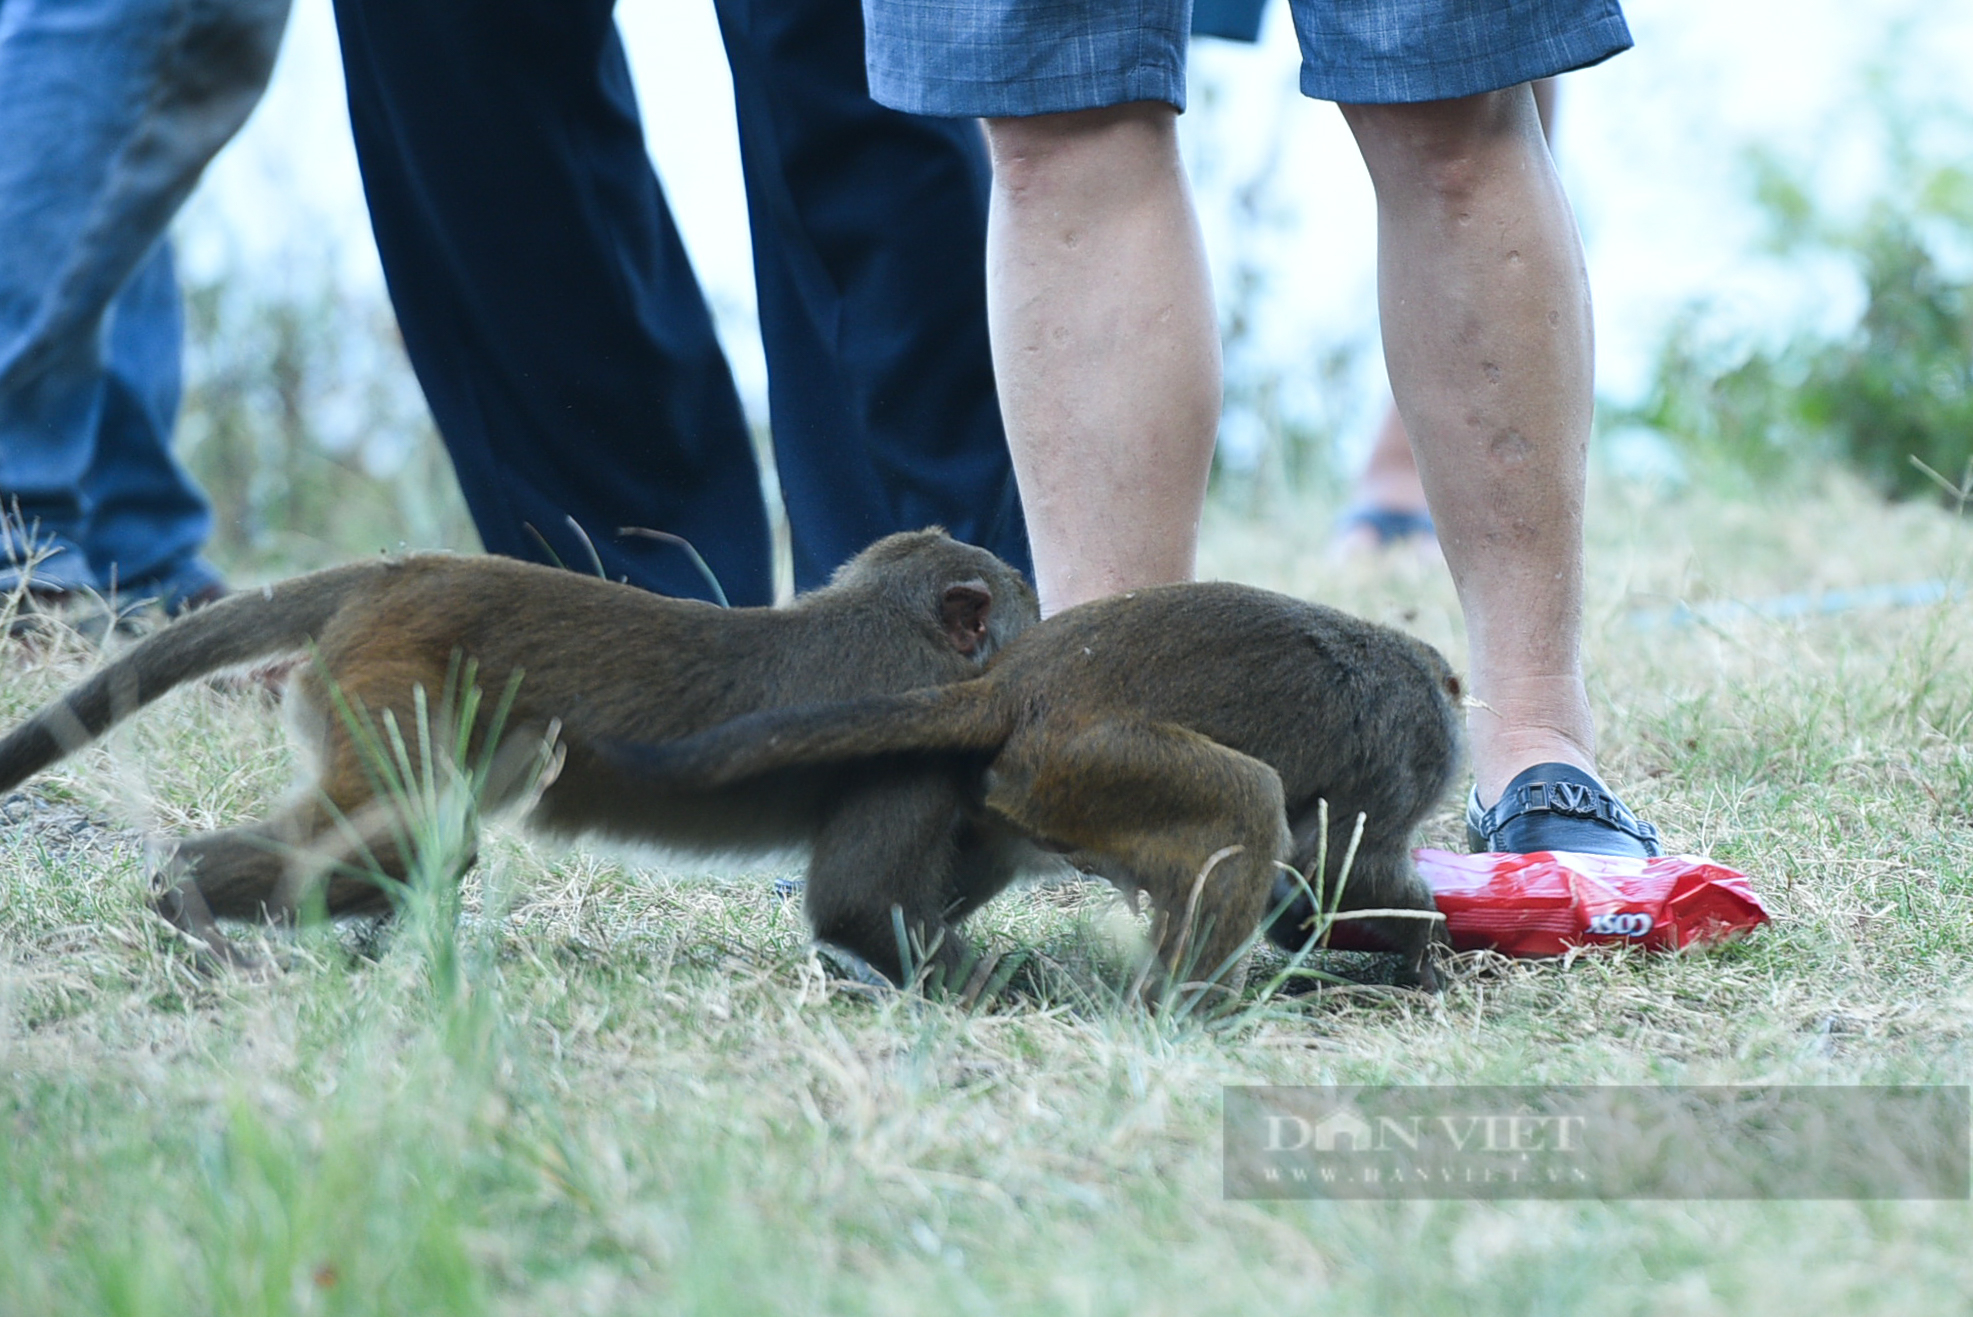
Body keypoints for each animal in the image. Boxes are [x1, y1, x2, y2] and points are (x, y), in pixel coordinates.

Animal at [0, 528, 1041, 966]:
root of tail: (391, 576)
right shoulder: (918, 742)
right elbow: (856, 905)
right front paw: (1009, 982)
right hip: (394, 679)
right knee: (421, 832)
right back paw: (187, 893)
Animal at [599, 579, 1467, 993]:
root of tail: (1016, 683)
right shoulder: (1402, 756)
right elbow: (1336, 864)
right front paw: (1420, 938)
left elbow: (1309, 883)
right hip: (1092, 757)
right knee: (1244, 803)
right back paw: (1182, 1010)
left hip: (1039, 782)